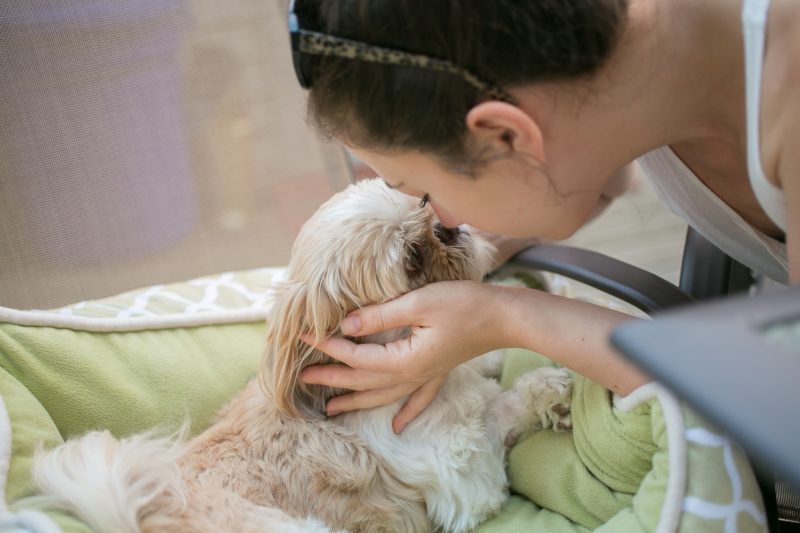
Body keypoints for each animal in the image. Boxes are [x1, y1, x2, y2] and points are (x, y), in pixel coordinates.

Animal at [32, 177, 568, 528]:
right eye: (412, 259)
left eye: (424, 200)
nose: (445, 228)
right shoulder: (462, 472)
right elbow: (500, 412)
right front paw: (551, 393)